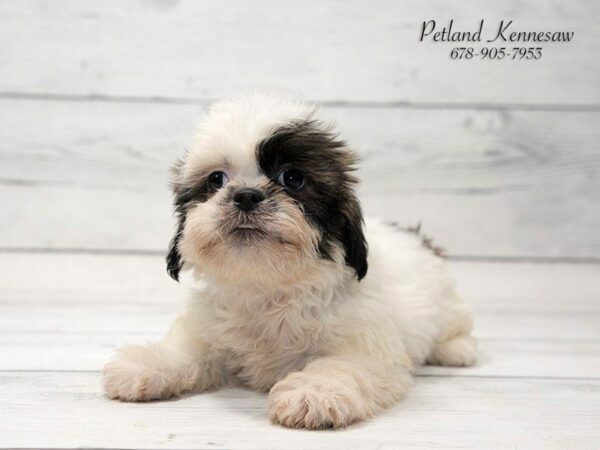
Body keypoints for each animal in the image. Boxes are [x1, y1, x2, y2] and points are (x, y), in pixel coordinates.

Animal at [104, 94, 478, 428]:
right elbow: (185, 349)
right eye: (216, 180)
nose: (246, 195)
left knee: (455, 326)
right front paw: (147, 364)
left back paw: (456, 350)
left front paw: (314, 392)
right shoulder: (205, 328)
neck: (267, 285)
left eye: (292, 178)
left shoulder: (365, 345)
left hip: (446, 303)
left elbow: (341, 365)